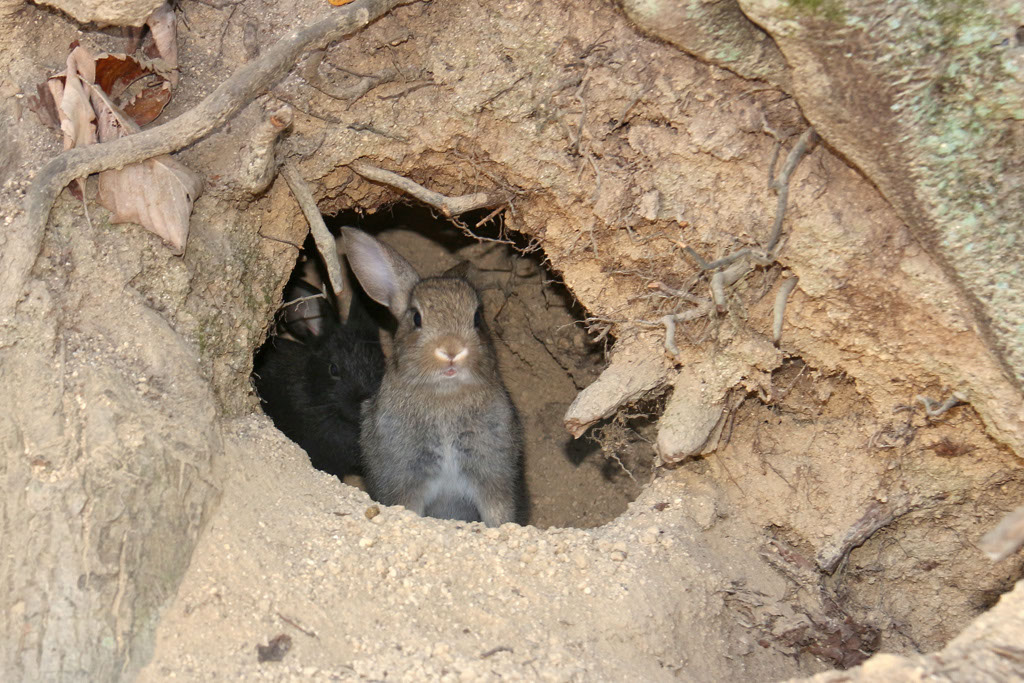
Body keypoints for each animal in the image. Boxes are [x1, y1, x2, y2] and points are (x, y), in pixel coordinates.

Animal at [341, 227, 527, 527]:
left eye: (477, 317)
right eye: (416, 318)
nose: (452, 350)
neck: (444, 394)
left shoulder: (493, 476)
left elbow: (499, 514)